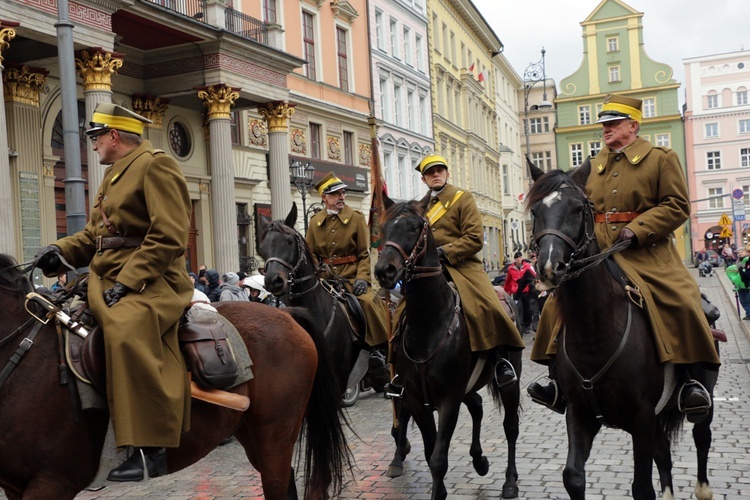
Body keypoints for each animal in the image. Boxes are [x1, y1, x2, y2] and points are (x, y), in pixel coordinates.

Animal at [376, 201, 524, 500]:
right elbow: (431, 451)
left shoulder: (448, 400)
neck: (430, 324)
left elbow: (438, 459)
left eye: (414, 227)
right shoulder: (416, 400)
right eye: (382, 228)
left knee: (510, 426)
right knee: (477, 405)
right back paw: (479, 461)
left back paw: (510, 481)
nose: (384, 271)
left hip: (510, 379)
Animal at [524, 161, 720, 500]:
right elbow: (573, 476)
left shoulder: (641, 418)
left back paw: (703, 487)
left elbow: (641, 487)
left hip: (701, 400)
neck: (594, 331)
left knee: (702, 438)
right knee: (664, 454)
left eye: (579, 208)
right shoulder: (580, 414)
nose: (550, 267)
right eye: (536, 211)